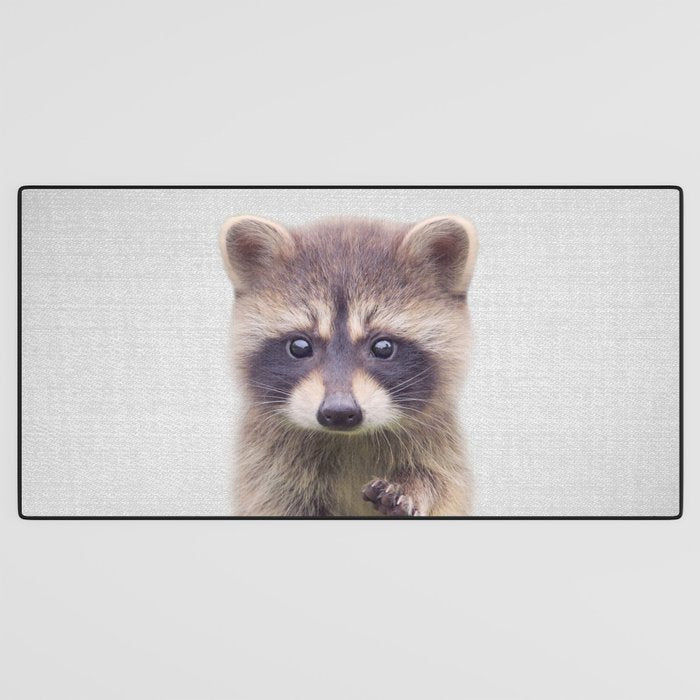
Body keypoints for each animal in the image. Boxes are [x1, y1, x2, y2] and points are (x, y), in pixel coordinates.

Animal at [219, 214, 478, 516]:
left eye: (383, 347)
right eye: (299, 346)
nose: (339, 412)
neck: (349, 438)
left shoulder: (441, 447)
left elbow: (441, 482)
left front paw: (414, 486)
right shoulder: (267, 467)